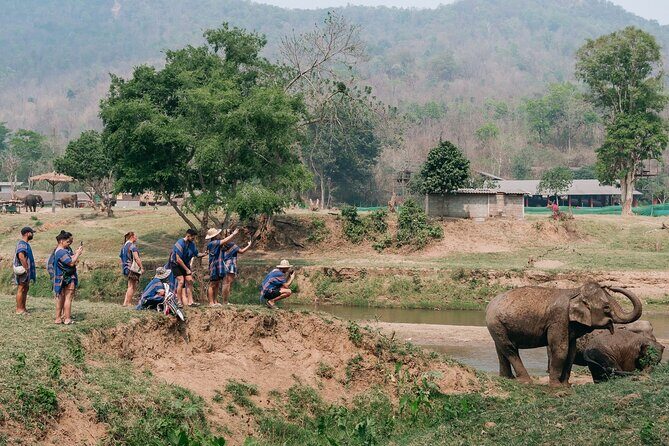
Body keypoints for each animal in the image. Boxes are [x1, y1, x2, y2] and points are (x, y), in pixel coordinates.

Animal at [486, 282, 642, 387]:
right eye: (607, 308)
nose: (610, 286)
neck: (575, 291)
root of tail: (489, 304)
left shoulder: (569, 325)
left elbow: (571, 351)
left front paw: (566, 385)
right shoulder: (558, 319)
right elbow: (560, 348)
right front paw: (556, 386)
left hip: (497, 326)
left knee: (501, 350)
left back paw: (507, 379)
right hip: (496, 323)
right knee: (510, 349)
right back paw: (526, 381)